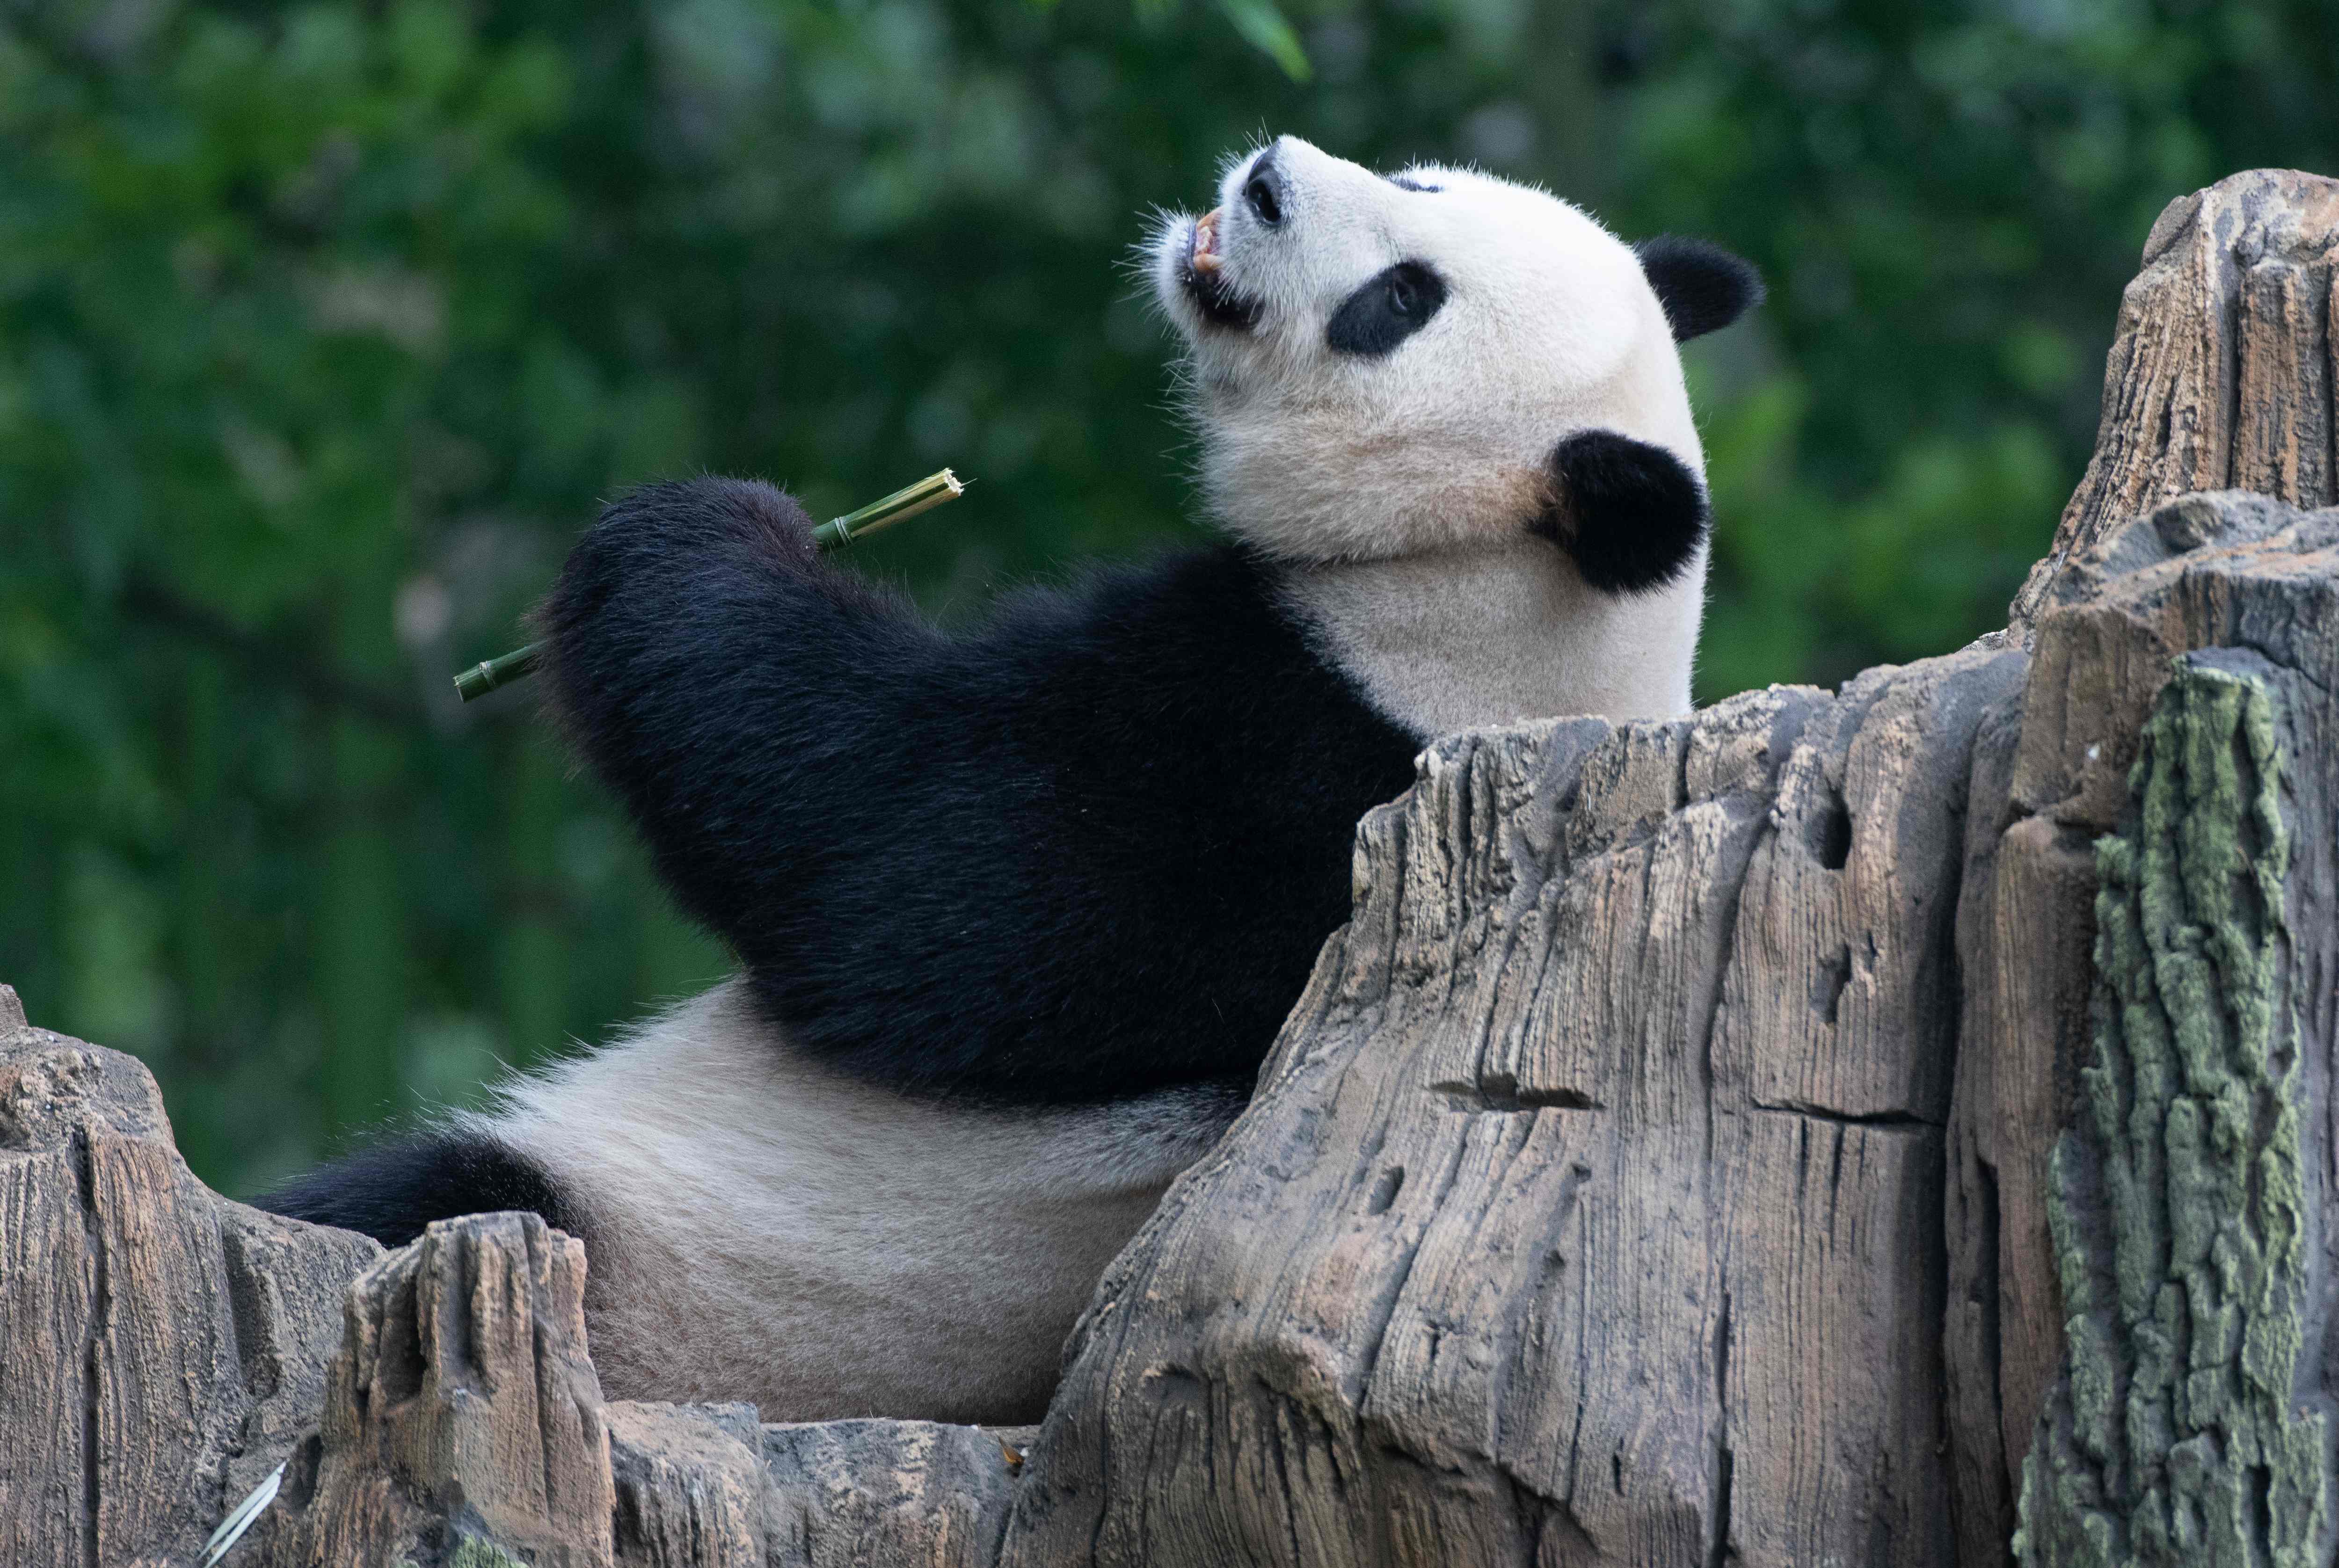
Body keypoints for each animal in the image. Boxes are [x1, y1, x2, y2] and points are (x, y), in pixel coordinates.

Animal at [258, 135, 1759, 1423]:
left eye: (1399, 302)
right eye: (1420, 181)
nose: (1267, 180)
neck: (1497, 603)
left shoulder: (1275, 774)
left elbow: (896, 874)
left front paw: (707, 526)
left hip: (651, 1267)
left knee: (415, 1203)